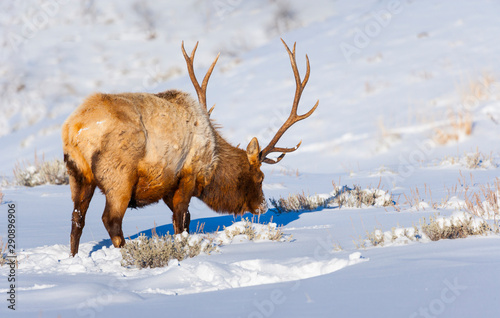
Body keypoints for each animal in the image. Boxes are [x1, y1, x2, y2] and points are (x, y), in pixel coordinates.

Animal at [62, 39, 318, 256]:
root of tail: (74, 129)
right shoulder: (187, 175)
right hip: (119, 177)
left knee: (77, 219)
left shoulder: (166, 185)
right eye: (260, 177)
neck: (212, 162)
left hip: (78, 175)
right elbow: (181, 220)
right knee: (111, 220)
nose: (263, 206)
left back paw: (73, 257)